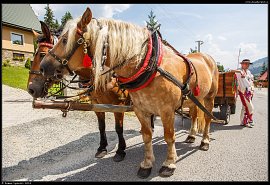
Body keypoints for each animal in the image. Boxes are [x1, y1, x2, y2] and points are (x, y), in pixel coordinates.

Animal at [28, 20, 132, 162]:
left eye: (42, 54)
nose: (31, 88)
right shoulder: (97, 104)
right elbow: (101, 126)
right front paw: (102, 148)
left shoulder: (119, 105)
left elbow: (119, 128)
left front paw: (120, 150)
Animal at [39, 7, 218, 179]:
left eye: (64, 40)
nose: (43, 67)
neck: (149, 65)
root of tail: (206, 57)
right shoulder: (140, 109)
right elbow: (146, 135)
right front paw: (146, 164)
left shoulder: (166, 111)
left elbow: (169, 136)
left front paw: (169, 163)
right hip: (194, 99)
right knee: (194, 114)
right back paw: (191, 136)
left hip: (210, 97)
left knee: (207, 118)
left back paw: (205, 141)